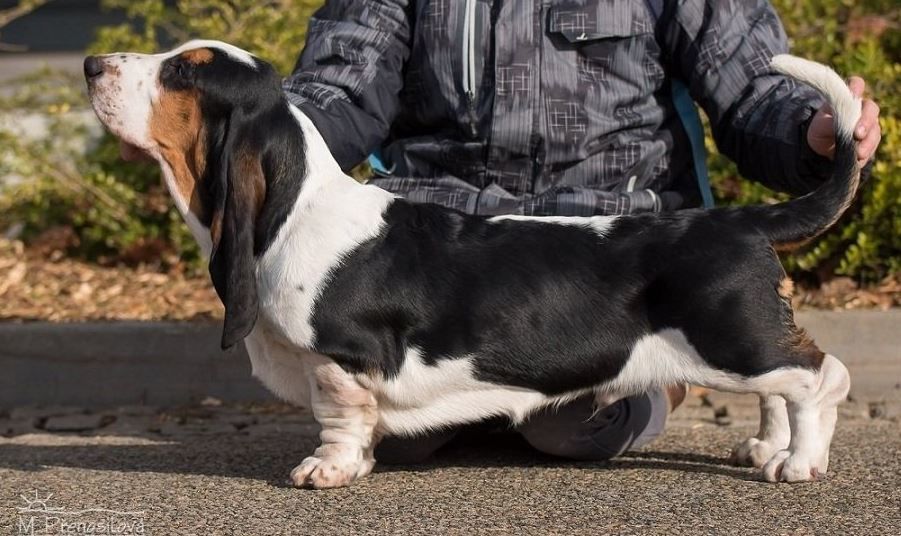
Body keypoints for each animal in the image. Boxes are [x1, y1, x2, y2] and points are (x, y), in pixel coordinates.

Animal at [84, 39, 856, 488]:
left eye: (181, 72)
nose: (91, 65)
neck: (296, 206)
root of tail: (741, 217)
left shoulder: (341, 359)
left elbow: (338, 416)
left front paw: (328, 470)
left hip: (729, 337)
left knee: (820, 378)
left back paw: (799, 464)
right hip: (742, 342)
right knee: (780, 391)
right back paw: (765, 450)